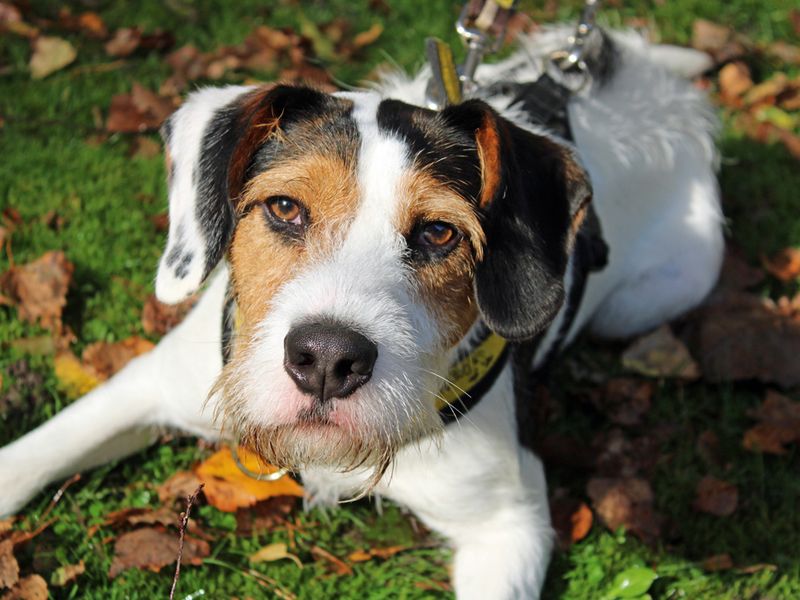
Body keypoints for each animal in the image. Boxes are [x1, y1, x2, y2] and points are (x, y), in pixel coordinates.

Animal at [0, 27, 720, 600]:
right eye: (284, 208)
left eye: (439, 233)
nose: (325, 360)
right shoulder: (149, 383)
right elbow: (36, 452)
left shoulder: (509, 524)